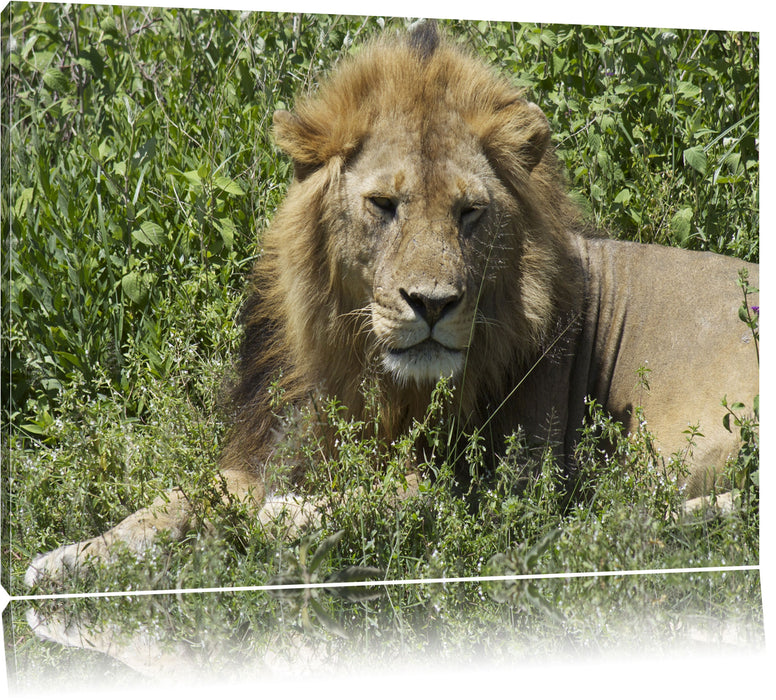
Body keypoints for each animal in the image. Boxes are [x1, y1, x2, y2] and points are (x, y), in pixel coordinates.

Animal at [24, 23, 756, 592]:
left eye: (469, 213)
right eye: (383, 205)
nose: (432, 304)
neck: (361, 372)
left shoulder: (504, 479)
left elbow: (392, 496)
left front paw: (289, 517)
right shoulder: (272, 446)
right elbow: (177, 497)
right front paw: (71, 557)